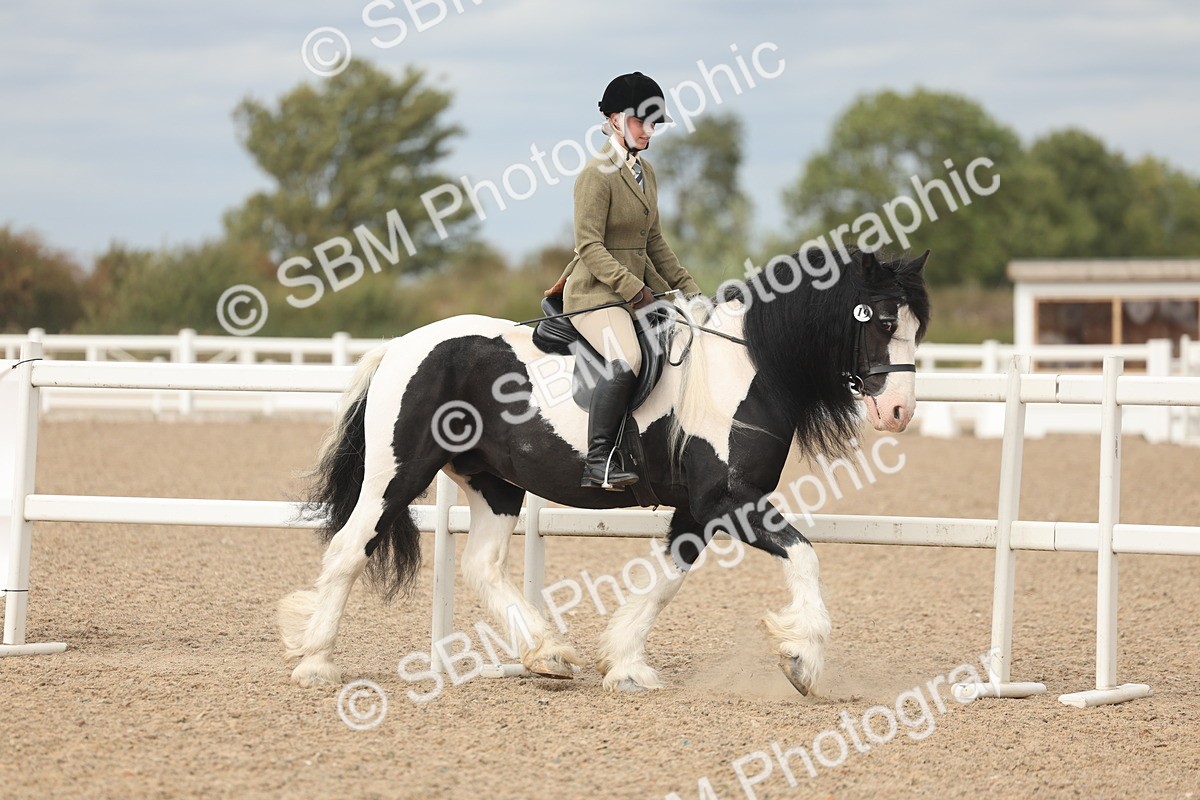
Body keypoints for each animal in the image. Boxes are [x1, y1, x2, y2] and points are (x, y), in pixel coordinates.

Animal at [279, 247, 930, 695]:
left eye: (916, 326)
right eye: (877, 321)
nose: (899, 412)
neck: (746, 368)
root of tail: (401, 346)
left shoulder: (698, 509)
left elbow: (666, 580)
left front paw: (625, 664)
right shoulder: (729, 500)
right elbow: (804, 556)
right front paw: (803, 659)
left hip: (495, 483)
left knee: (481, 565)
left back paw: (546, 654)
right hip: (399, 473)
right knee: (349, 549)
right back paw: (316, 661)